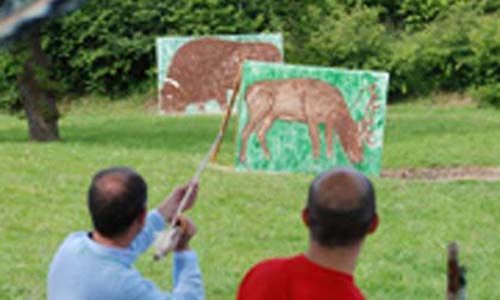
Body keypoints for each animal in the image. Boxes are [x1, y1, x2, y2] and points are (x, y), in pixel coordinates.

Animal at [238, 78, 378, 163]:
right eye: (355, 139)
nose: (359, 159)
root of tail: (247, 91)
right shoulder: (311, 114)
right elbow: (316, 138)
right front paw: (317, 159)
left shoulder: (327, 120)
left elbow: (328, 138)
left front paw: (328, 158)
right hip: (258, 110)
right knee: (245, 131)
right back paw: (243, 159)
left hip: (271, 116)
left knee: (260, 133)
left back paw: (269, 157)